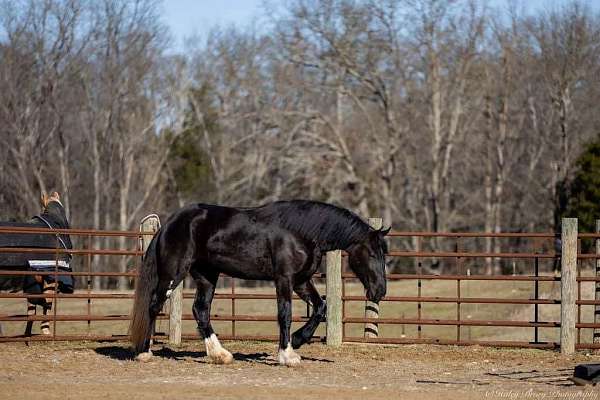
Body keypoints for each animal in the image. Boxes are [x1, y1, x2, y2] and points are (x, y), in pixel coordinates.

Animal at [130, 202, 390, 368]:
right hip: (173, 274)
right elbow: (285, 315)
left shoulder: (301, 281)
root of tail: (169, 224)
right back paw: (144, 352)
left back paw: (220, 355)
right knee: (154, 305)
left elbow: (320, 308)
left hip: (207, 276)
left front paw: (297, 340)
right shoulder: (284, 279)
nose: (380, 291)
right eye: (372, 253)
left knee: (200, 310)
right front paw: (287, 355)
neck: (300, 233)